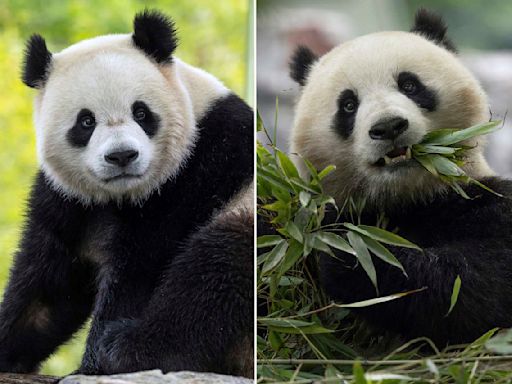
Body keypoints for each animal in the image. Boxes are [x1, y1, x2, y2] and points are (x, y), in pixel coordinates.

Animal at [0, 9, 254, 378]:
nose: (122, 156)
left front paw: (91, 366)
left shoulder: (194, 175)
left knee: (214, 275)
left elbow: (138, 272)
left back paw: (125, 347)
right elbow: (45, 288)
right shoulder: (68, 199)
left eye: (141, 112)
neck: (120, 195)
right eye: (86, 121)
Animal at [288, 8, 512, 344]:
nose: (389, 126)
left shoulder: (484, 202)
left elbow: (476, 283)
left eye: (409, 85)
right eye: (348, 105)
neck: (406, 196)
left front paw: (353, 253)